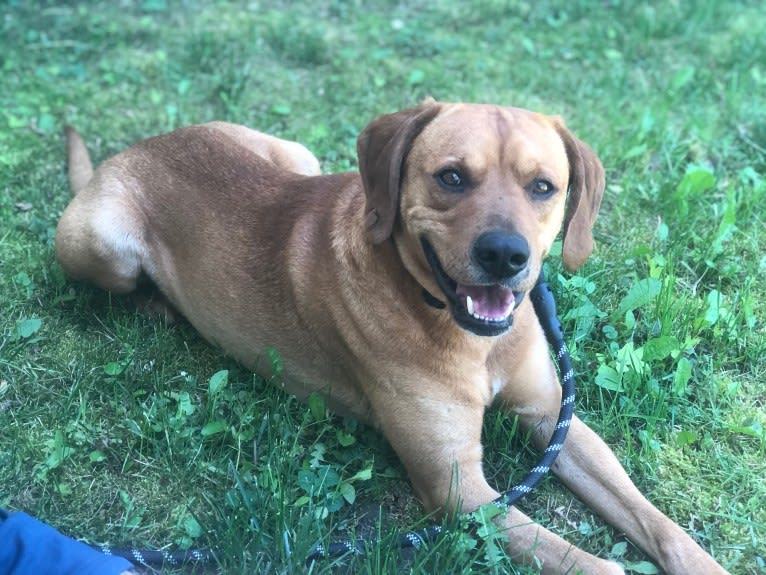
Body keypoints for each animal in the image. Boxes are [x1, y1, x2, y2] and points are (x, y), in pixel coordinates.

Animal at [57, 101, 728, 572]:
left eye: (544, 186)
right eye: (451, 177)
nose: (505, 255)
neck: (472, 338)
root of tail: (134, 150)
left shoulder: (552, 418)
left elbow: (655, 518)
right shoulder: (459, 490)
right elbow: (584, 563)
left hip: (297, 155)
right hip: (99, 245)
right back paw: (156, 304)